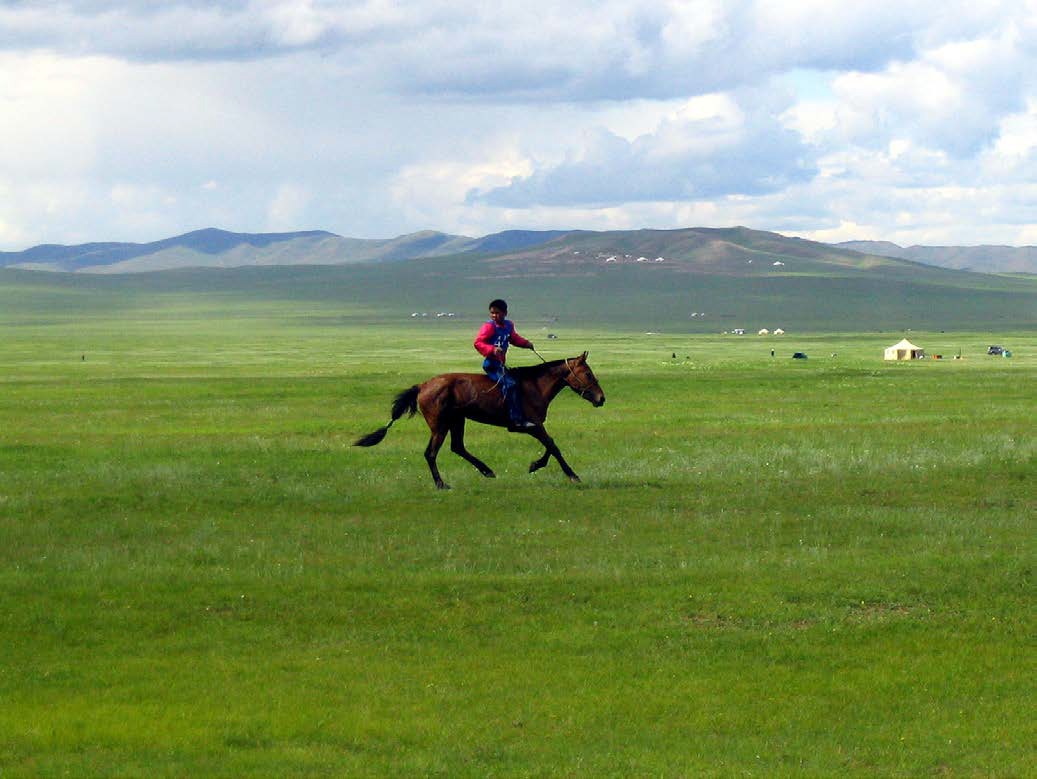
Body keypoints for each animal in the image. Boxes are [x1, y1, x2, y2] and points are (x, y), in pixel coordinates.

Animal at [354, 352, 605, 487]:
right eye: (588, 373)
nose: (601, 398)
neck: (535, 386)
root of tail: (422, 386)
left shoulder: (534, 426)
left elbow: (550, 445)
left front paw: (536, 465)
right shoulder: (529, 426)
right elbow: (553, 445)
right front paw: (571, 475)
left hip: (457, 421)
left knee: (457, 447)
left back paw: (487, 471)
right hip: (439, 426)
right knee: (431, 453)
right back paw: (441, 484)